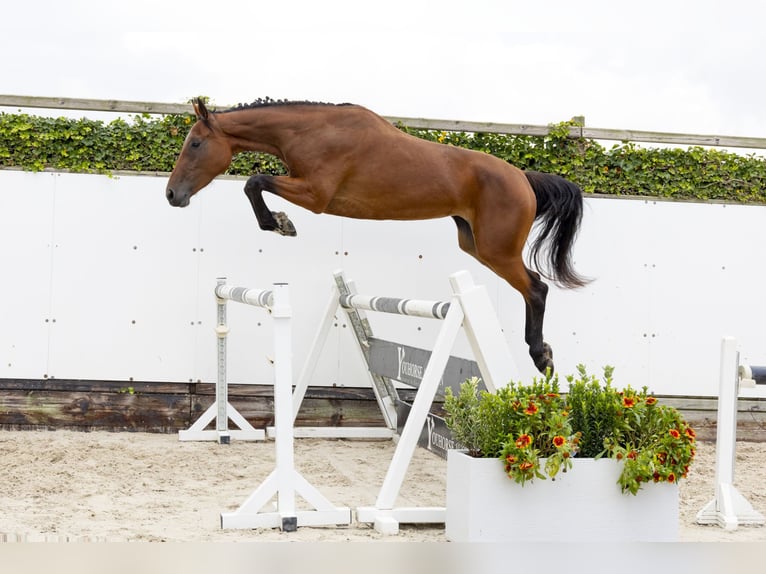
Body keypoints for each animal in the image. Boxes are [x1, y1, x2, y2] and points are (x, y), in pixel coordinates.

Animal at [166, 98, 588, 374]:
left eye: (196, 144)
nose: (172, 195)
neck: (311, 131)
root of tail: (523, 177)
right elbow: (254, 183)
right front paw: (280, 222)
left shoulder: (315, 195)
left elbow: (254, 182)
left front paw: (280, 223)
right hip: (475, 246)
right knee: (532, 287)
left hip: (497, 250)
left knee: (536, 288)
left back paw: (541, 356)